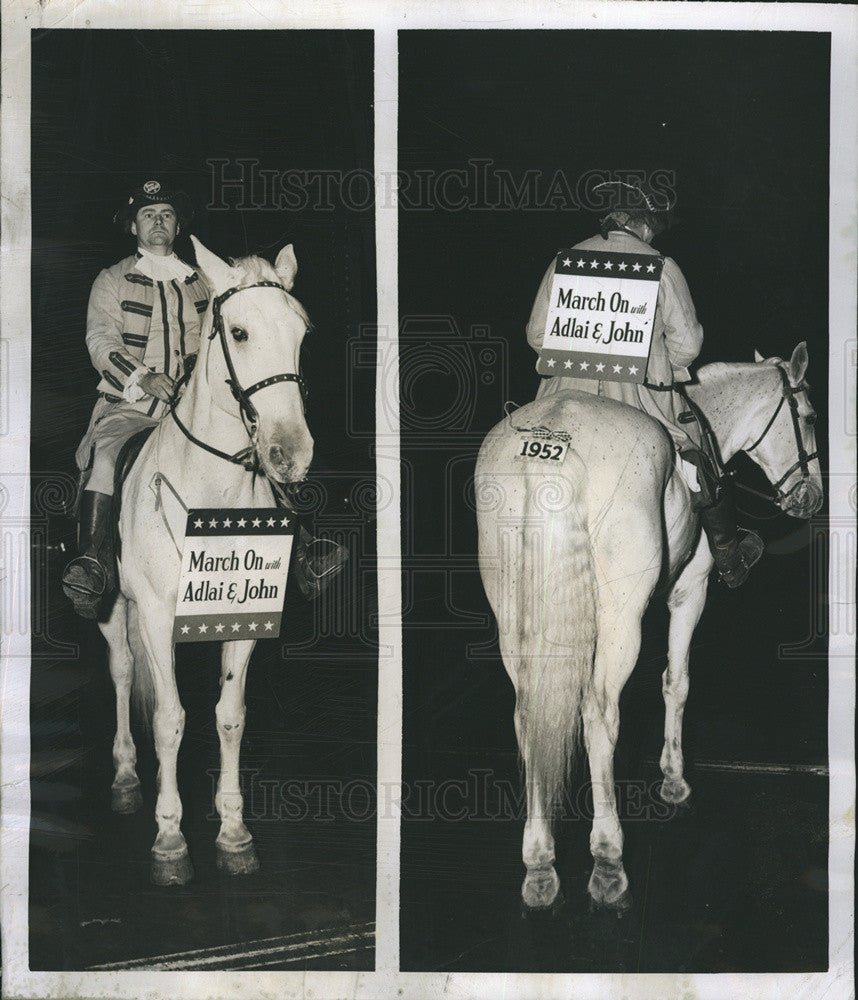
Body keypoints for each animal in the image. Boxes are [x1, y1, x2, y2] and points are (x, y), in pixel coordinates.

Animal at [100, 236, 312, 884]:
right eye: (238, 332)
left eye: (301, 331)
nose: (291, 454)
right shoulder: (153, 615)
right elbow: (171, 719)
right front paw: (170, 839)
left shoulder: (244, 620)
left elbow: (228, 715)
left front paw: (234, 832)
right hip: (114, 608)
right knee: (123, 673)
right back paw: (126, 776)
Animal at [474, 346, 824, 916]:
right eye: (811, 418)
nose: (811, 497)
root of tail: (551, 441)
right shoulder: (691, 588)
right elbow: (676, 683)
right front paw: (674, 779)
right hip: (621, 616)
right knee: (598, 715)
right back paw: (608, 861)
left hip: (515, 612)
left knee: (528, 714)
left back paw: (540, 864)